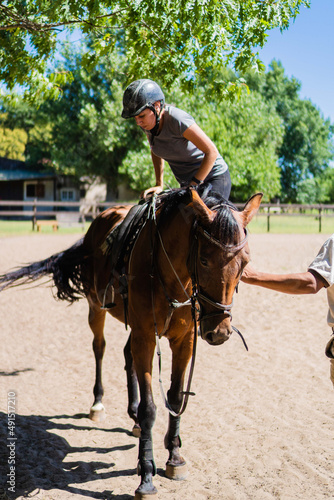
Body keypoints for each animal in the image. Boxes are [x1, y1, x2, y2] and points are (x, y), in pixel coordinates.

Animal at [0, 187, 260, 496]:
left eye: (245, 263)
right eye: (205, 260)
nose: (219, 330)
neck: (172, 275)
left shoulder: (183, 341)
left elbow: (175, 397)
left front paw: (174, 457)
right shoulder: (146, 336)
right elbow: (150, 408)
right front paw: (146, 475)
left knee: (127, 358)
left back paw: (132, 416)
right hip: (97, 307)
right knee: (99, 349)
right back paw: (98, 404)